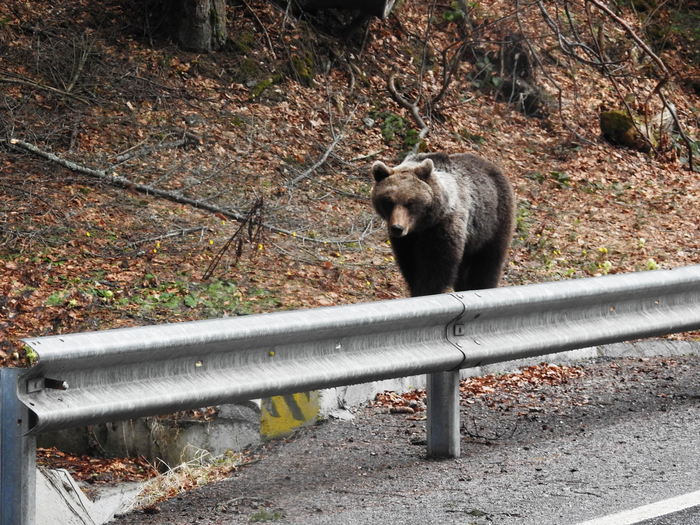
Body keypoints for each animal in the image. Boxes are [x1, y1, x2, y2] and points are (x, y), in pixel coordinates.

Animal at [372, 154, 516, 296]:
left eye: (410, 203)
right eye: (389, 202)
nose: (397, 228)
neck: (422, 225)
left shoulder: (443, 227)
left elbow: (436, 265)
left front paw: (425, 291)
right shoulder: (407, 240)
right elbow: (410, 263)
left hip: (492, 222)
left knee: (488, 261)